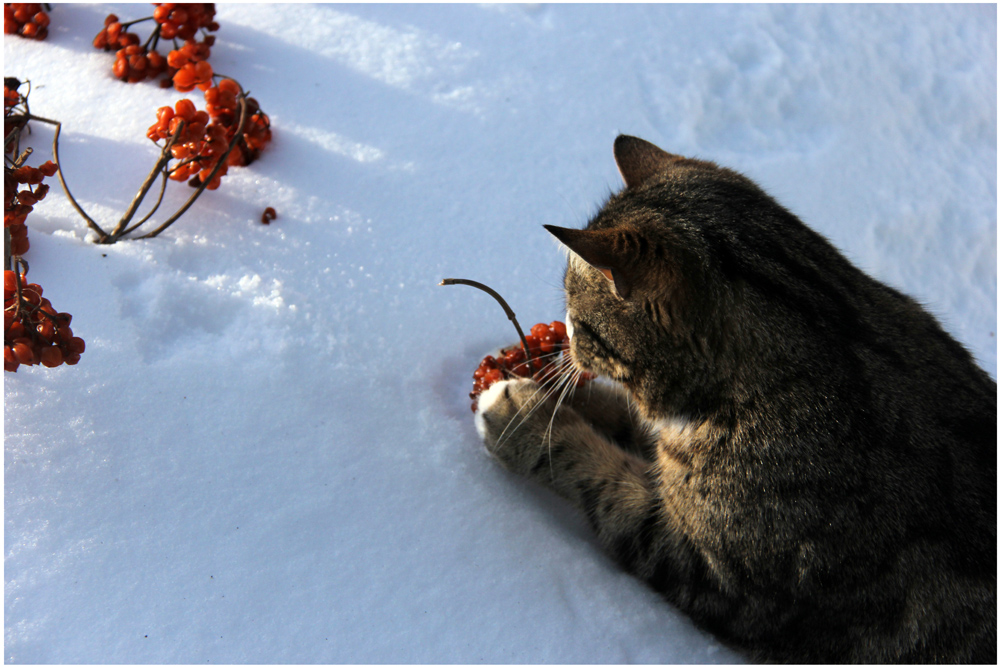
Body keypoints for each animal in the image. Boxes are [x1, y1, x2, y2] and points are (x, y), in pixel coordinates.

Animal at [472, 136, 996, 664]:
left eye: (579, 319)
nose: (568, 343)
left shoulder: (708, 572)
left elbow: (600, 479)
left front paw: (524, 418)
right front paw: (562, 399)